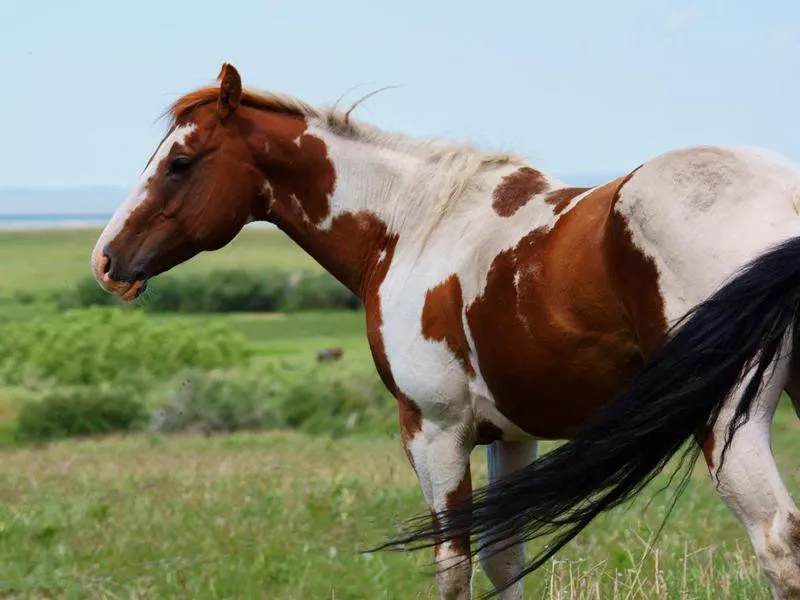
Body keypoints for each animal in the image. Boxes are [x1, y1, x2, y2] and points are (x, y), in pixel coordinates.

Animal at [90, 63, 800, 596]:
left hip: (726, 423)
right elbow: (504, 559)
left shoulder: (435, 432)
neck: (409, 227)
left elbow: (453, 564)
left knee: (776, 541)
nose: (105, 260)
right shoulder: (510, 436)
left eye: (180, 162)